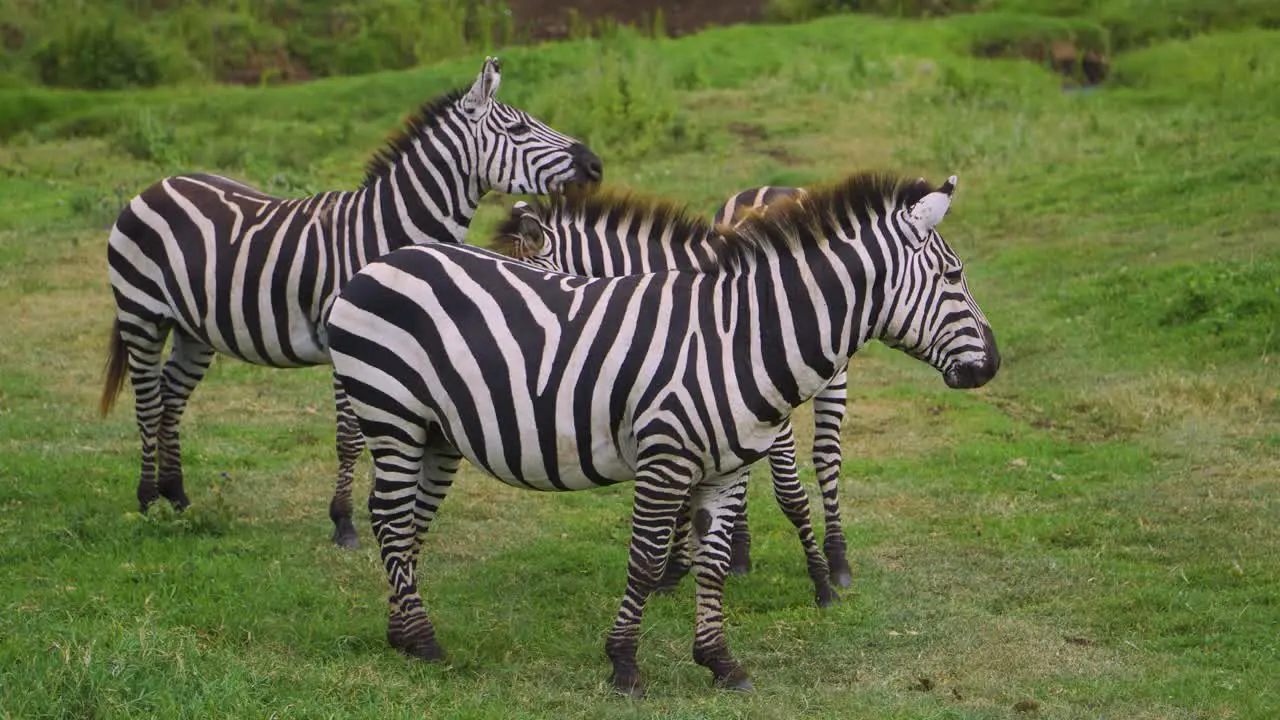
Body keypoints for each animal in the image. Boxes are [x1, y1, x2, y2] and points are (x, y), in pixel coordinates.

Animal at [94, 58, 604, 543]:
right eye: (518, 129)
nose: (596, 164)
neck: (390, 232)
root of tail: (158, 184)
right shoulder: (354, 348)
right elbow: (349, 439)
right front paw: (343, 521)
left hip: (194, 330)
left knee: (171, 397)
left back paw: (176, 495)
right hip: (141, 313)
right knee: (147, 401)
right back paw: (147, 500)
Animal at [488, 181, 860, 602]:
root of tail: (778, 186)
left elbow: (789, 492)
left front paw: (821, 579)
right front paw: (675, 570)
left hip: (833, 381)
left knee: (827, 458)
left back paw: (838, 559)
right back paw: (740, 553)